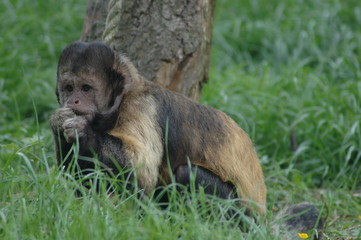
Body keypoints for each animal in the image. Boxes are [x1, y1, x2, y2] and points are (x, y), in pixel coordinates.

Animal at [49, 41, 322, 238]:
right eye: (69, 88)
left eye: (86, 88)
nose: (73, 100)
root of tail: (261, 221)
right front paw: (60, 126)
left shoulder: (142, 106)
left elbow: (142, 172)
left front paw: (83, 131)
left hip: (242, 218)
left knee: (186, 173)